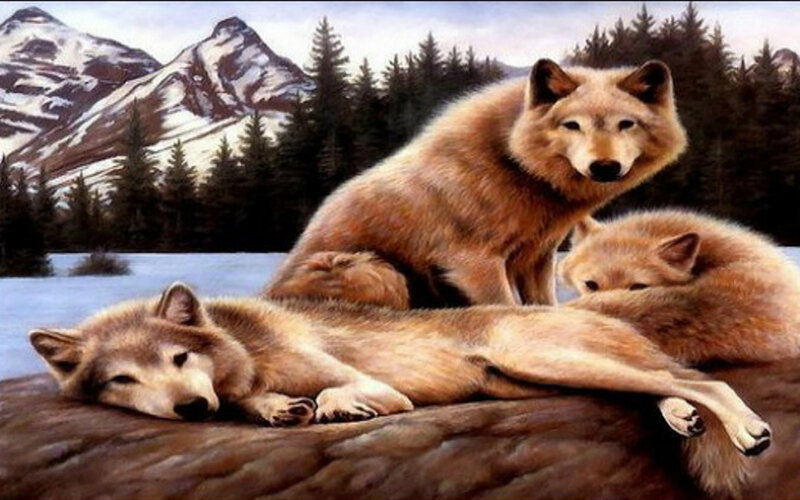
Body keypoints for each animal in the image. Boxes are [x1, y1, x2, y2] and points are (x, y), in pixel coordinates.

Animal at [31, 282, 770, 496]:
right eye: (123, 379)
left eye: (180, 356)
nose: (190, 407)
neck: (242, 343)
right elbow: (257, 404)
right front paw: (277, 409)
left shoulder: (376, 384)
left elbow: (345, 395)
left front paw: (337, 407)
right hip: (533, 377)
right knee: (666, 385)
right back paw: (680, 417)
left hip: (544, 357)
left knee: (699, 377)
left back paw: (750, 432)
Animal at [265, 58, 687, 309]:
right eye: (572, 125)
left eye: (626, 124)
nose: (604, 166)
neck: (513, 165)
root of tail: (267, 292)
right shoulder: (473, 263)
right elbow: (505, 310)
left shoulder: (538, 255)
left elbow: (542, 306)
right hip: (377, 272)